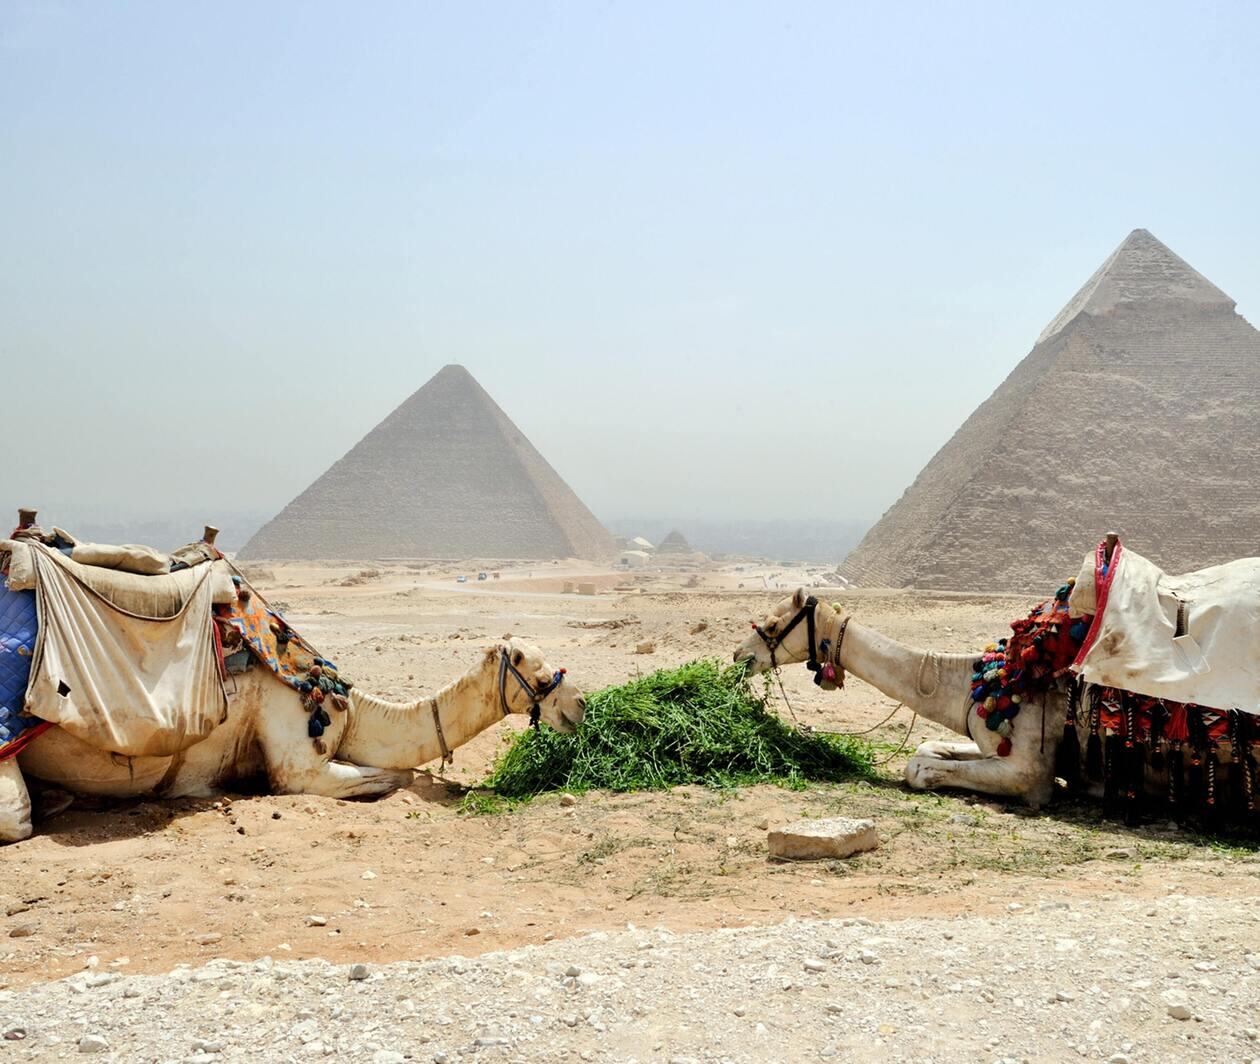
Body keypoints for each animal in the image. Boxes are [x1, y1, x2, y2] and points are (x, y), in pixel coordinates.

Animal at [0, 635, 584, 842]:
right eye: (535, 669)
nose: (581, 706)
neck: (352, 709)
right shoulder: (296, 762)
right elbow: (394, 775)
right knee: (15, 820)